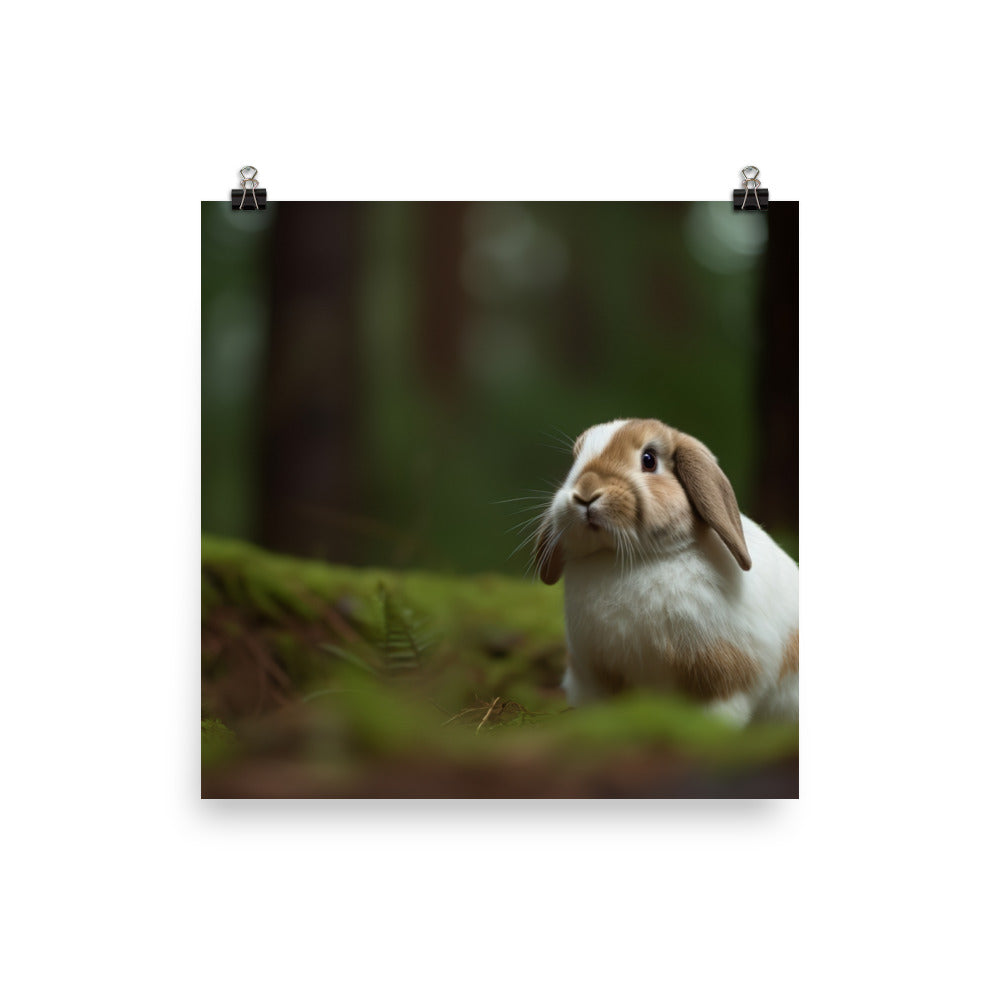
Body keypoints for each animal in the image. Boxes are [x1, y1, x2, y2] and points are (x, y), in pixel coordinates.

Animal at [533, 419, 798, 726]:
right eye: (576, 460)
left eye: (649, 460)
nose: (586, 492)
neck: (633, 559)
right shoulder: (596, 676)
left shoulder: (725, 678)